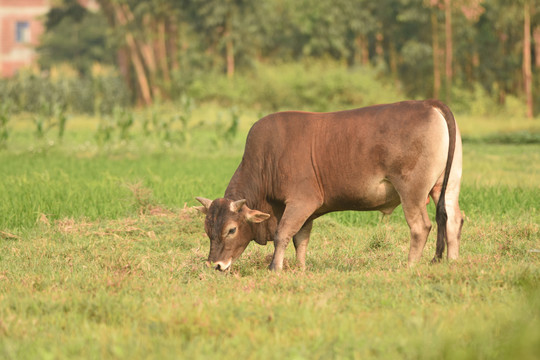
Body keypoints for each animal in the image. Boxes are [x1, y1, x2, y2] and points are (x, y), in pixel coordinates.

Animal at [196, 100, 462, 272]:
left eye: (231, 229)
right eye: (207, 229)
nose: (215, 265)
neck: (266, 161)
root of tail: (428, 104)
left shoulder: (302, 201)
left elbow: (283, 233)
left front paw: (274, 268)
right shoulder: (306, 211)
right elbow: (300, 239)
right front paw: (301, 268)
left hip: (412, 191)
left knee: (421, 227)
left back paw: (409, 266)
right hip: (447, 186)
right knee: (453, 219)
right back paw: (452, 261)